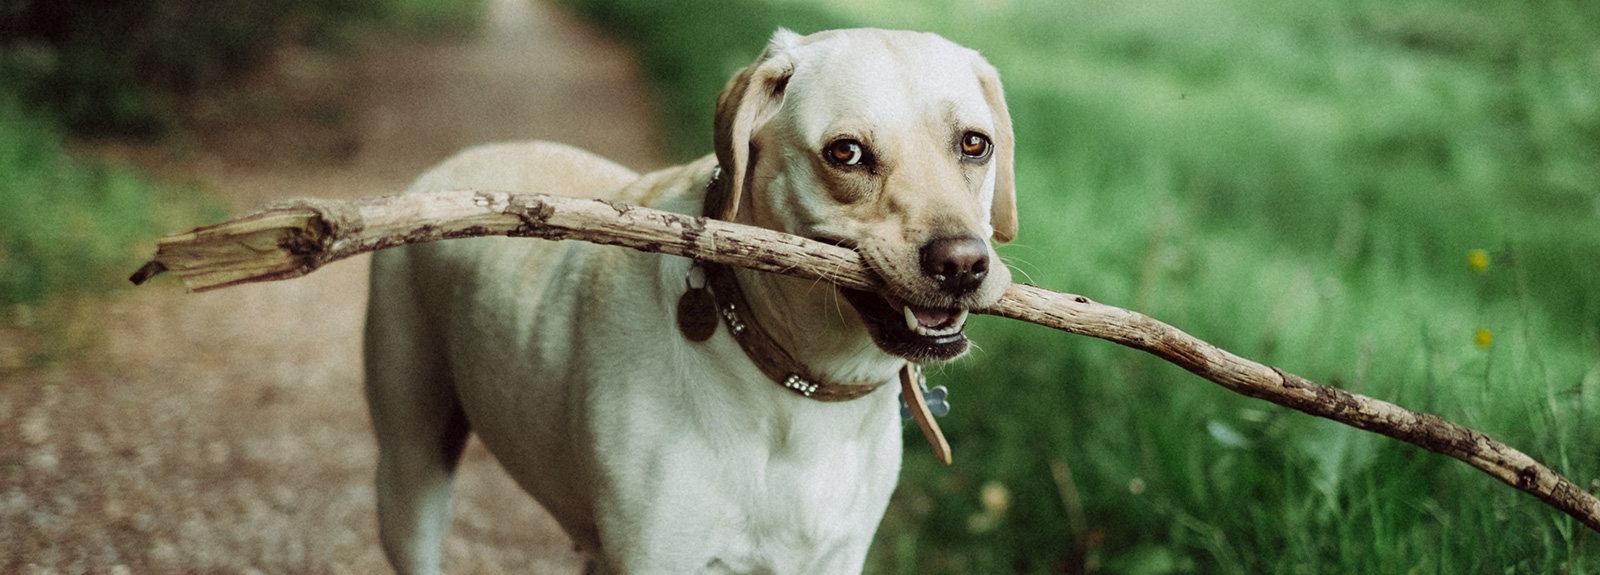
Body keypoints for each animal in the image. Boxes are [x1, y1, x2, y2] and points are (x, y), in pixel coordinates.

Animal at [363, 28, 1011, 575]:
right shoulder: (656, 555)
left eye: (974, 144)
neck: (798, 387)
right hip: (410, 472)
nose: (962, 265)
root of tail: (450, 164)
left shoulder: (836, 556)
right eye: (846, 153)